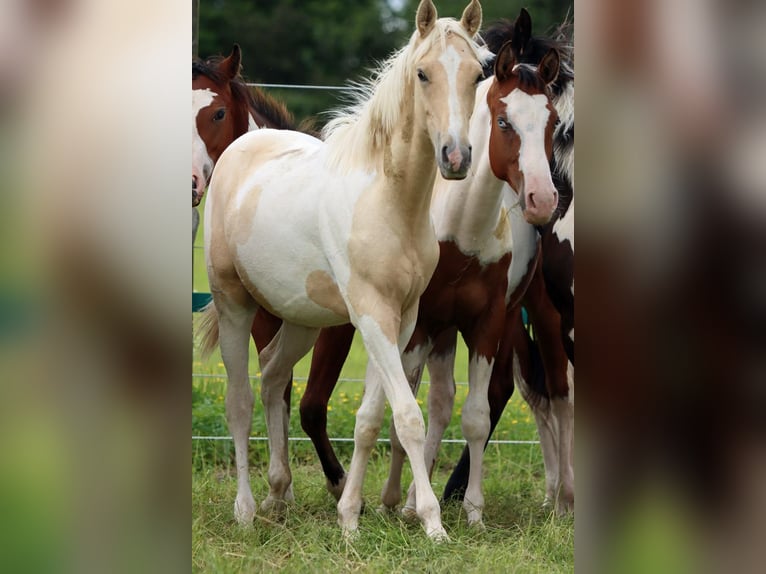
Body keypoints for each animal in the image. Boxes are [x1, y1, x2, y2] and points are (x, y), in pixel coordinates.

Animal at [198, 0, 486, 544]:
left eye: (479, 75)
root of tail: (240, 149)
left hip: (302, 320)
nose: (456, 158)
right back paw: (246, 510)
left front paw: (350, 515)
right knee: (240, 401)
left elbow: (371, 417)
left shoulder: (402, 319)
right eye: (423, 74)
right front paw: (433, 522)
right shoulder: (371, 315)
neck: (389, 201)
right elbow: (409, 417)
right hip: (233, 304)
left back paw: (278, 493)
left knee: (273, 376)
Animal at [296, 9, 560, 532]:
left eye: (554, 122)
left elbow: (474, 414)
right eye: (504, 121)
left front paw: (472, 510)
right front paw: (403, 501)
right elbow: (406, 409)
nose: (542, 200)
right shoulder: (420, 325)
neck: (462, 231)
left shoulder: (487, 323)